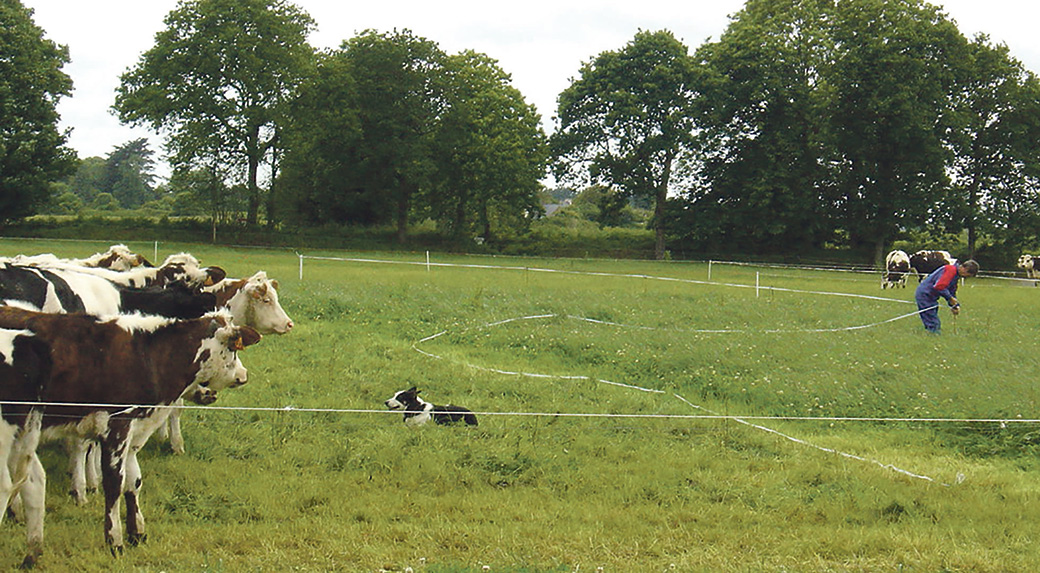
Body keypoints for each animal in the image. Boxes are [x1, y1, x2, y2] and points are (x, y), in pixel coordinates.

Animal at [0, 307, 260, 565]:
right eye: (233, 350)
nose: (243, 375)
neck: (150, 355)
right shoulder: (118, 427)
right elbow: (114, 483)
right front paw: (114, 540)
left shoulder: (135, 432)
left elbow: (133, 481)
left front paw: (137, 533)